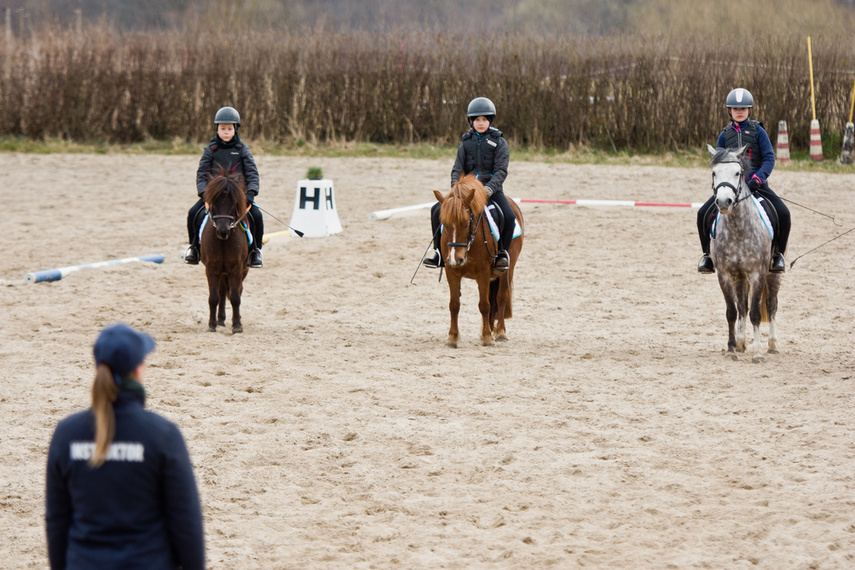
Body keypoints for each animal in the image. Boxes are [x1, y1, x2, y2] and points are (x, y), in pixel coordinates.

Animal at [201, 173, 251, 332]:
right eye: (214, 203)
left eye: (233, 203)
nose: (223, 231)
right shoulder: (211, 269)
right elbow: (213, 297)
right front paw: (212, 324)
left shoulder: (236, 269)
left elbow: (235, 297)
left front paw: (237, 325)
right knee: (222, 292)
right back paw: (220, 319)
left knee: (237, 290)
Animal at [434, 172, 520, 346]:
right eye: (444, 223)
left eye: (466, 223)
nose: (456, 259)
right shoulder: (451, 271)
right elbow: (454, 305)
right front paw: (452, 338)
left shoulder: (483, 273)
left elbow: (485, 305)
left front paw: (487, 338)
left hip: (508, 270)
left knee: (501, 298)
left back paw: (500, 333)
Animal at [708, 144, 784, 362]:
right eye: (714, 173)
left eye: (737, 172)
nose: (724, 202)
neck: (737, 228)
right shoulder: (725, 275)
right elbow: (732, 311)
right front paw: (732, 348)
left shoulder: (757, 274)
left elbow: (757, 313)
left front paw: (757, 353)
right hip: (739, 277)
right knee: (742, 306)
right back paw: (741, 343)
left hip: (772, 274)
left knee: (772, 304)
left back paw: (772, 345)